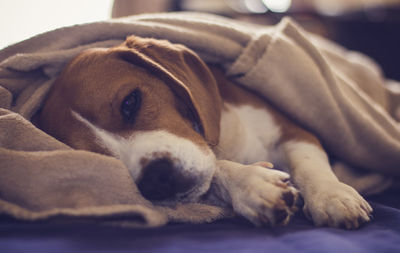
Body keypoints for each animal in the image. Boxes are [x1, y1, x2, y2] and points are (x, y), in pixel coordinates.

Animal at [36, 36, 374, 229]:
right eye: (96, 157)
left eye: (130, 102)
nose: (157, 179)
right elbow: (218, 170)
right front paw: (251, 185)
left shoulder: (295, 131)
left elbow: (309, 164)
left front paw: (331, 195)